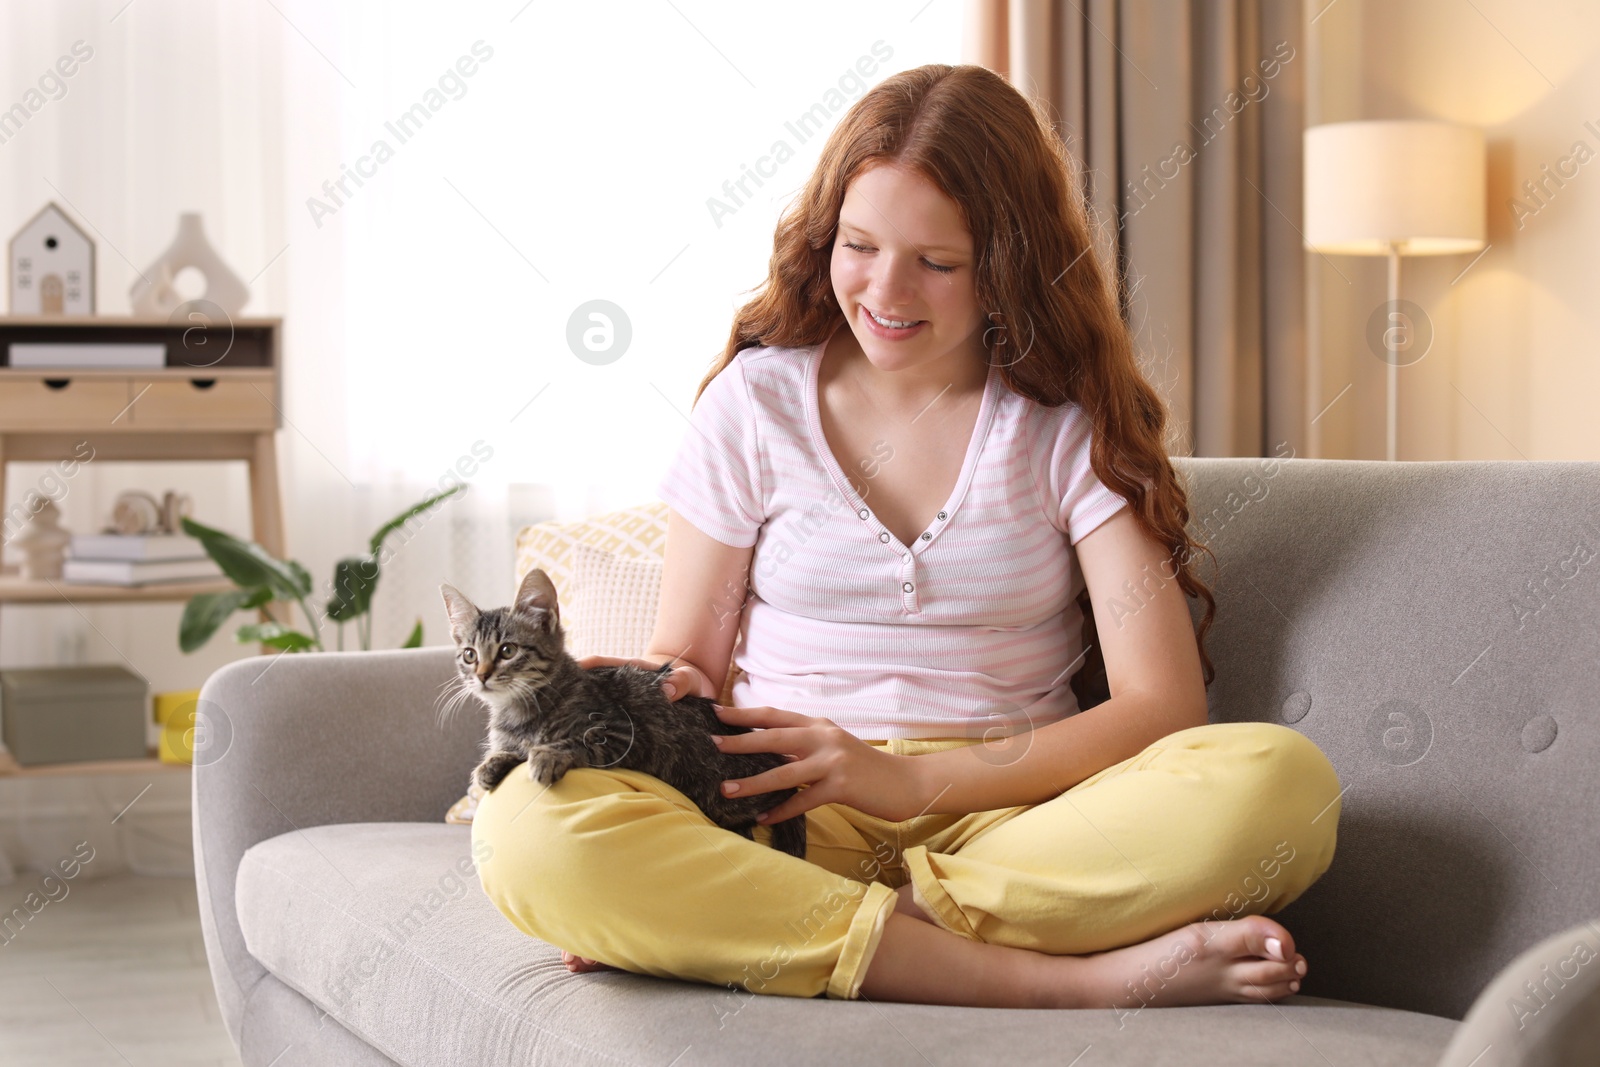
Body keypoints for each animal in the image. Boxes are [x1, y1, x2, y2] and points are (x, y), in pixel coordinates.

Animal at [438, 566, 806, 857]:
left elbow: (575, 742)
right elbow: (510, 750)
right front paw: (492, 763)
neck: (518, 709)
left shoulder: (625, 733)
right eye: (469, 654)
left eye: (507, 650)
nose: (482, 675)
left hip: (726, 789)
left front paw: (547, 755)